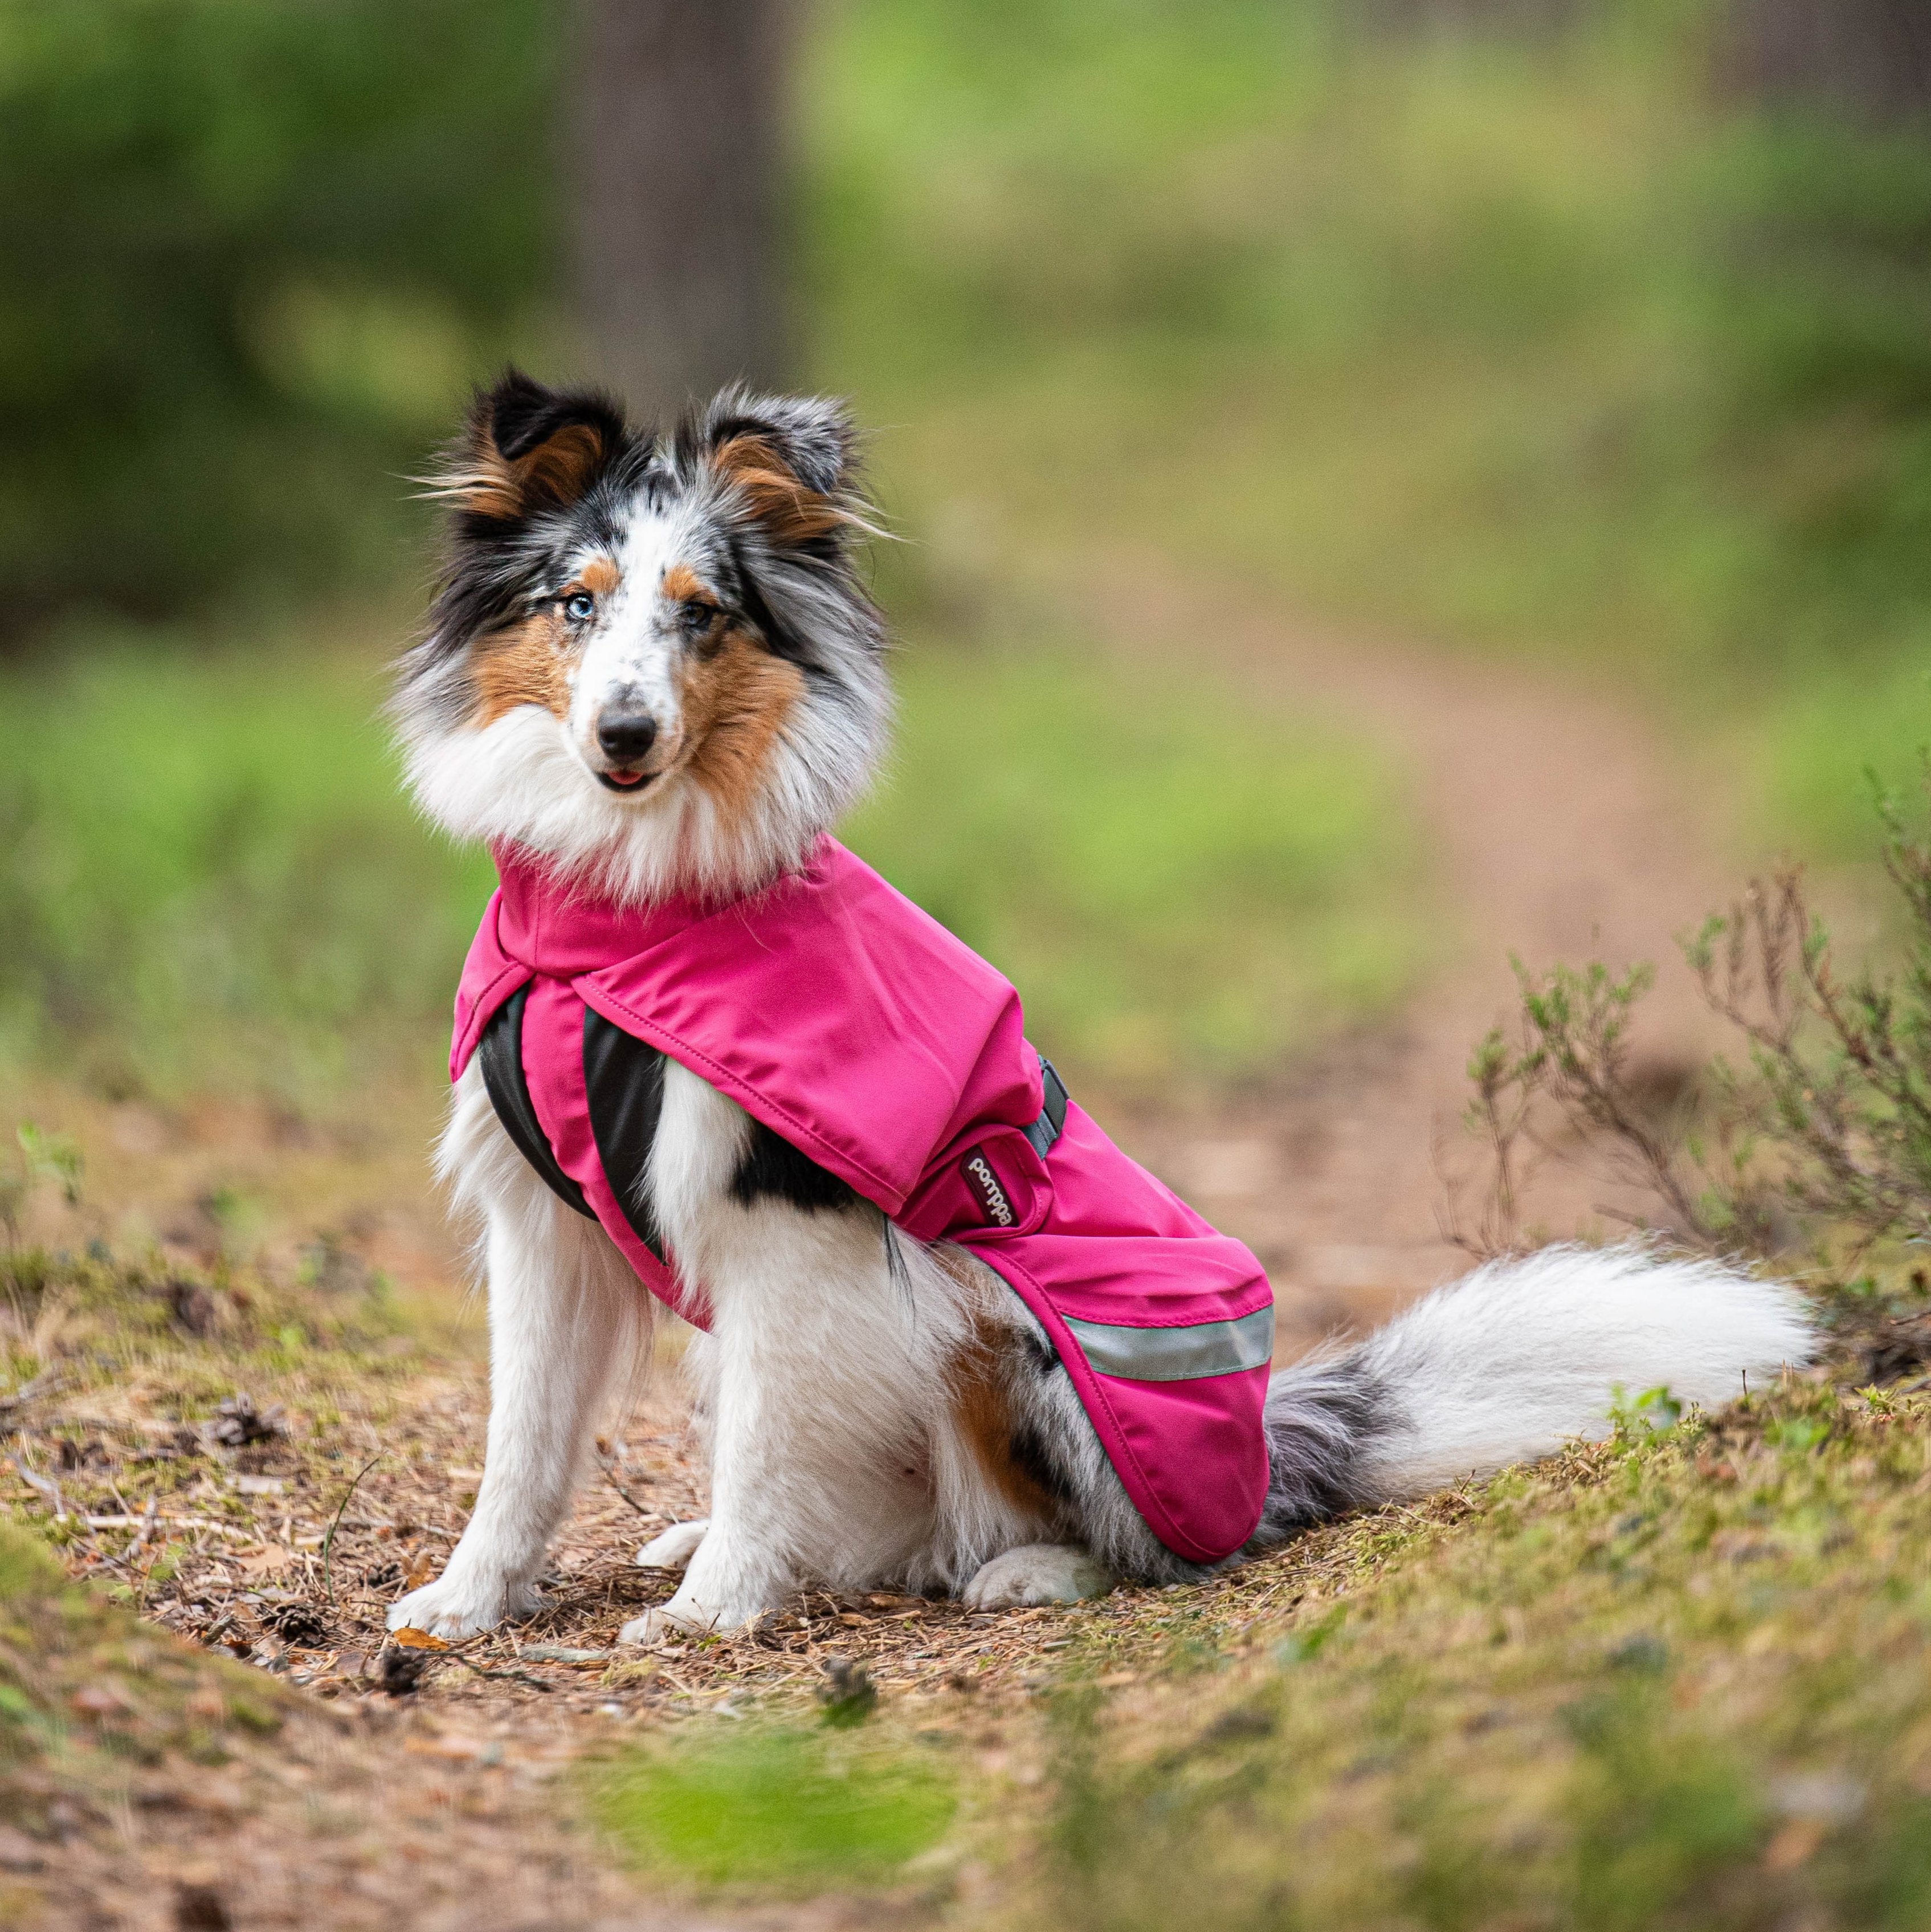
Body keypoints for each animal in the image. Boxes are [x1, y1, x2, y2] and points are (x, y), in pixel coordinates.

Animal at [388, 369, 1807, 1638]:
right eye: (576, 605)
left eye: (700, 617)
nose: (624, 735)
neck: (609, 928)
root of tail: (1272, 1458)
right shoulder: (542, 1224)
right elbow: (520, 1443)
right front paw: (469, 1602)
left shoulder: (784, 1227)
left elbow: (754, 1443)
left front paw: (716, 1611)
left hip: (1017, 1325)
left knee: (1098, 1546)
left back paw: (1014, 1572)